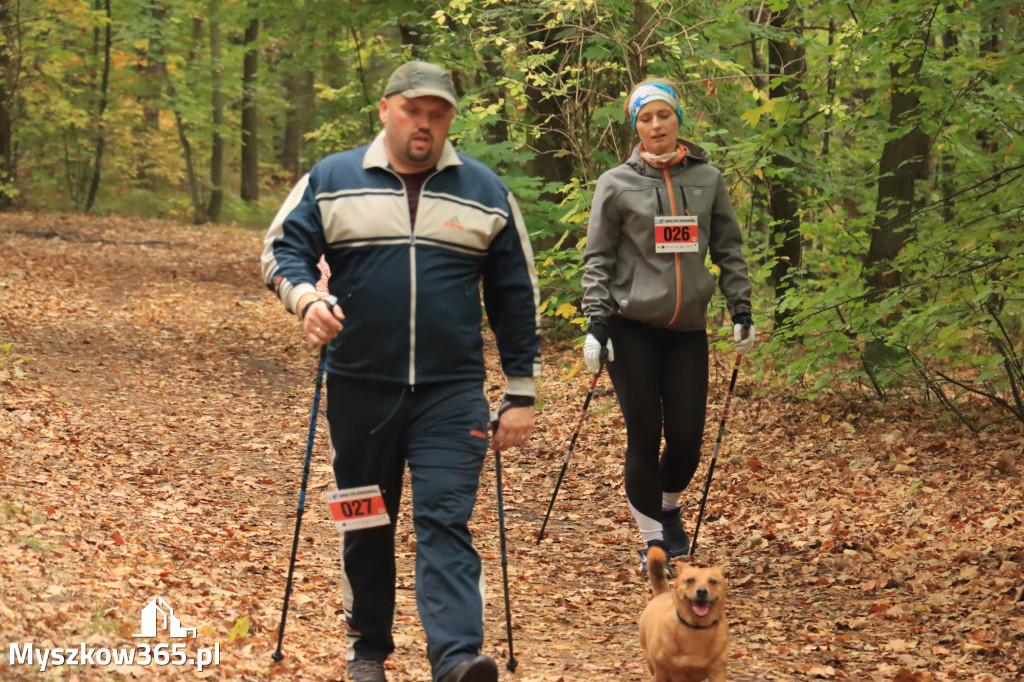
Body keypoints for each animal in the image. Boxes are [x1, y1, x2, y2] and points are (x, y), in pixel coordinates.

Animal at [638, 544, 729, 679]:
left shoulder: (717, 671)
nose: (702, 591)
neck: (696, 628)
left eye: (712, 581)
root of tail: (663, 593)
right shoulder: (661, 671)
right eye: (690, 580)